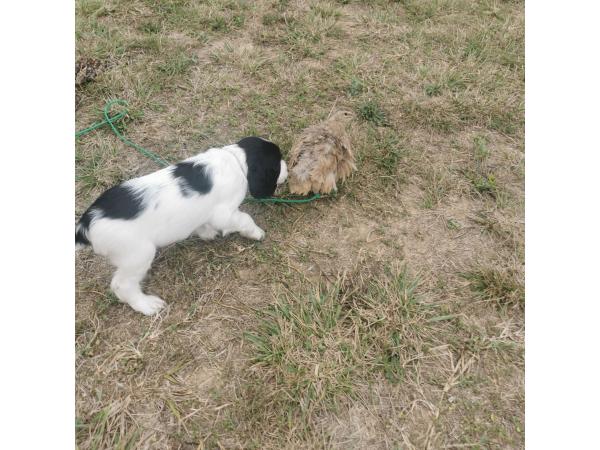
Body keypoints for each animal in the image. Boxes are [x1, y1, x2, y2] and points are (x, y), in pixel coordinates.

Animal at [75, 137, 288, 316]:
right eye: (278, 161)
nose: (287, 168)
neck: (235, 158)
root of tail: (85, 224)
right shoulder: (224, 214)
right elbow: (245, 219)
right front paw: (257, 233)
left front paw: (206, 233)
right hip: (138, 255)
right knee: (121, 285)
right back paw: (147, 305)